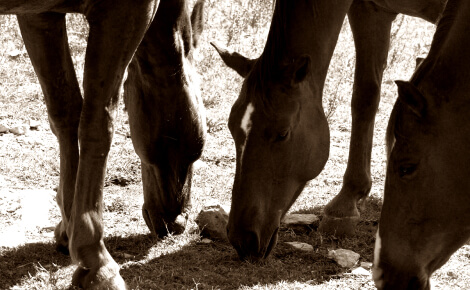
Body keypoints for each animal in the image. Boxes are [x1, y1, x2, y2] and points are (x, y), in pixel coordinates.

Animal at [3, 0, 205, 288]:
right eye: (194, 151)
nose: (175, 223)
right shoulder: (125, 15)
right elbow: (98, 122)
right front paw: (96, 261)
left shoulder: (41, 17)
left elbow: (65, 111)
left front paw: (69, 228)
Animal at [211, 0, 446, 260]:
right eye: (232, 128)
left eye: (283, 134)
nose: (242, 238)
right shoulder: (370, 11)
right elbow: (364, 97)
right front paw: (347, 201)